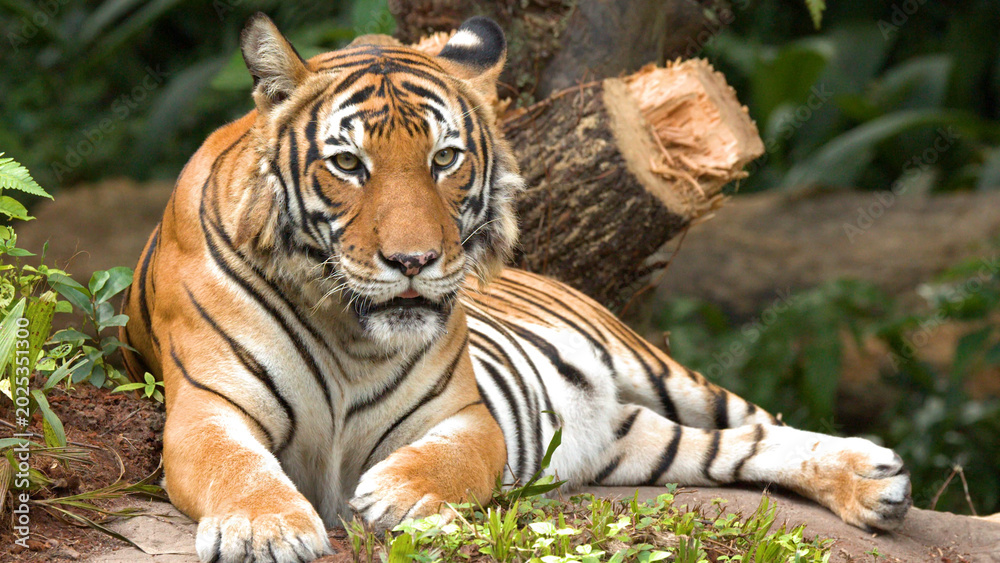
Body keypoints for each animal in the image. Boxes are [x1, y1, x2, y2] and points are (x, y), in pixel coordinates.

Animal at [120, 13, 912, 563]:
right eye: (348, 164)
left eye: (444, 159)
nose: (413, 260)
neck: (350, 332)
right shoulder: (206, 407)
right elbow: (235, 465)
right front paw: (266, 529)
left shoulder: (464, 413)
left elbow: (452, 458)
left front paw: (397, 495)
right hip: (637, 441)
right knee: (730, 448)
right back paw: (874, 486)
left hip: (655, 367)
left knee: (757, 422)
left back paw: (875, 476)